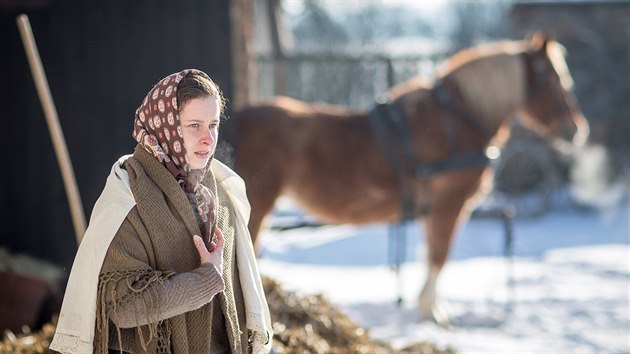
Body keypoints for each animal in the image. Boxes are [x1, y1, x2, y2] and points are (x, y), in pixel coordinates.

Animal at [231, 34, 592, 326]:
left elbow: (432, 252)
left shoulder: (434, 210)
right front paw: (432, 313)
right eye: (555, 80)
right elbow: (439, 255)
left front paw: (432, 309)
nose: (576, 129)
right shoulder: (450, 204)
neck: (455, 122)